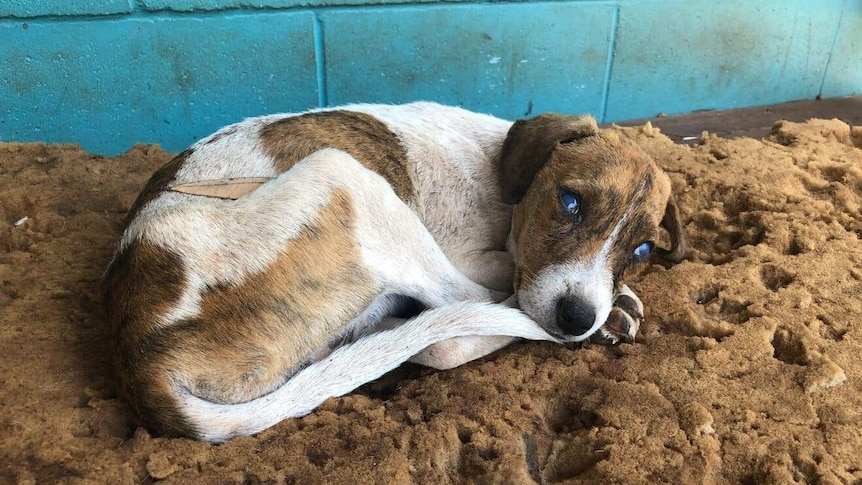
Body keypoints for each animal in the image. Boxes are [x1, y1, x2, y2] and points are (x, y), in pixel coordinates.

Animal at [103, 102, 688, 442]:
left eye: (642, 249)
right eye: (570, 202)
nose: (577, 318)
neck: (502, 176)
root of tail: (140, 360)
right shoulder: (478, 258)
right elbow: (504, 286)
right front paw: (614, 309)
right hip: (345, 176)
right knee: (457, 324)